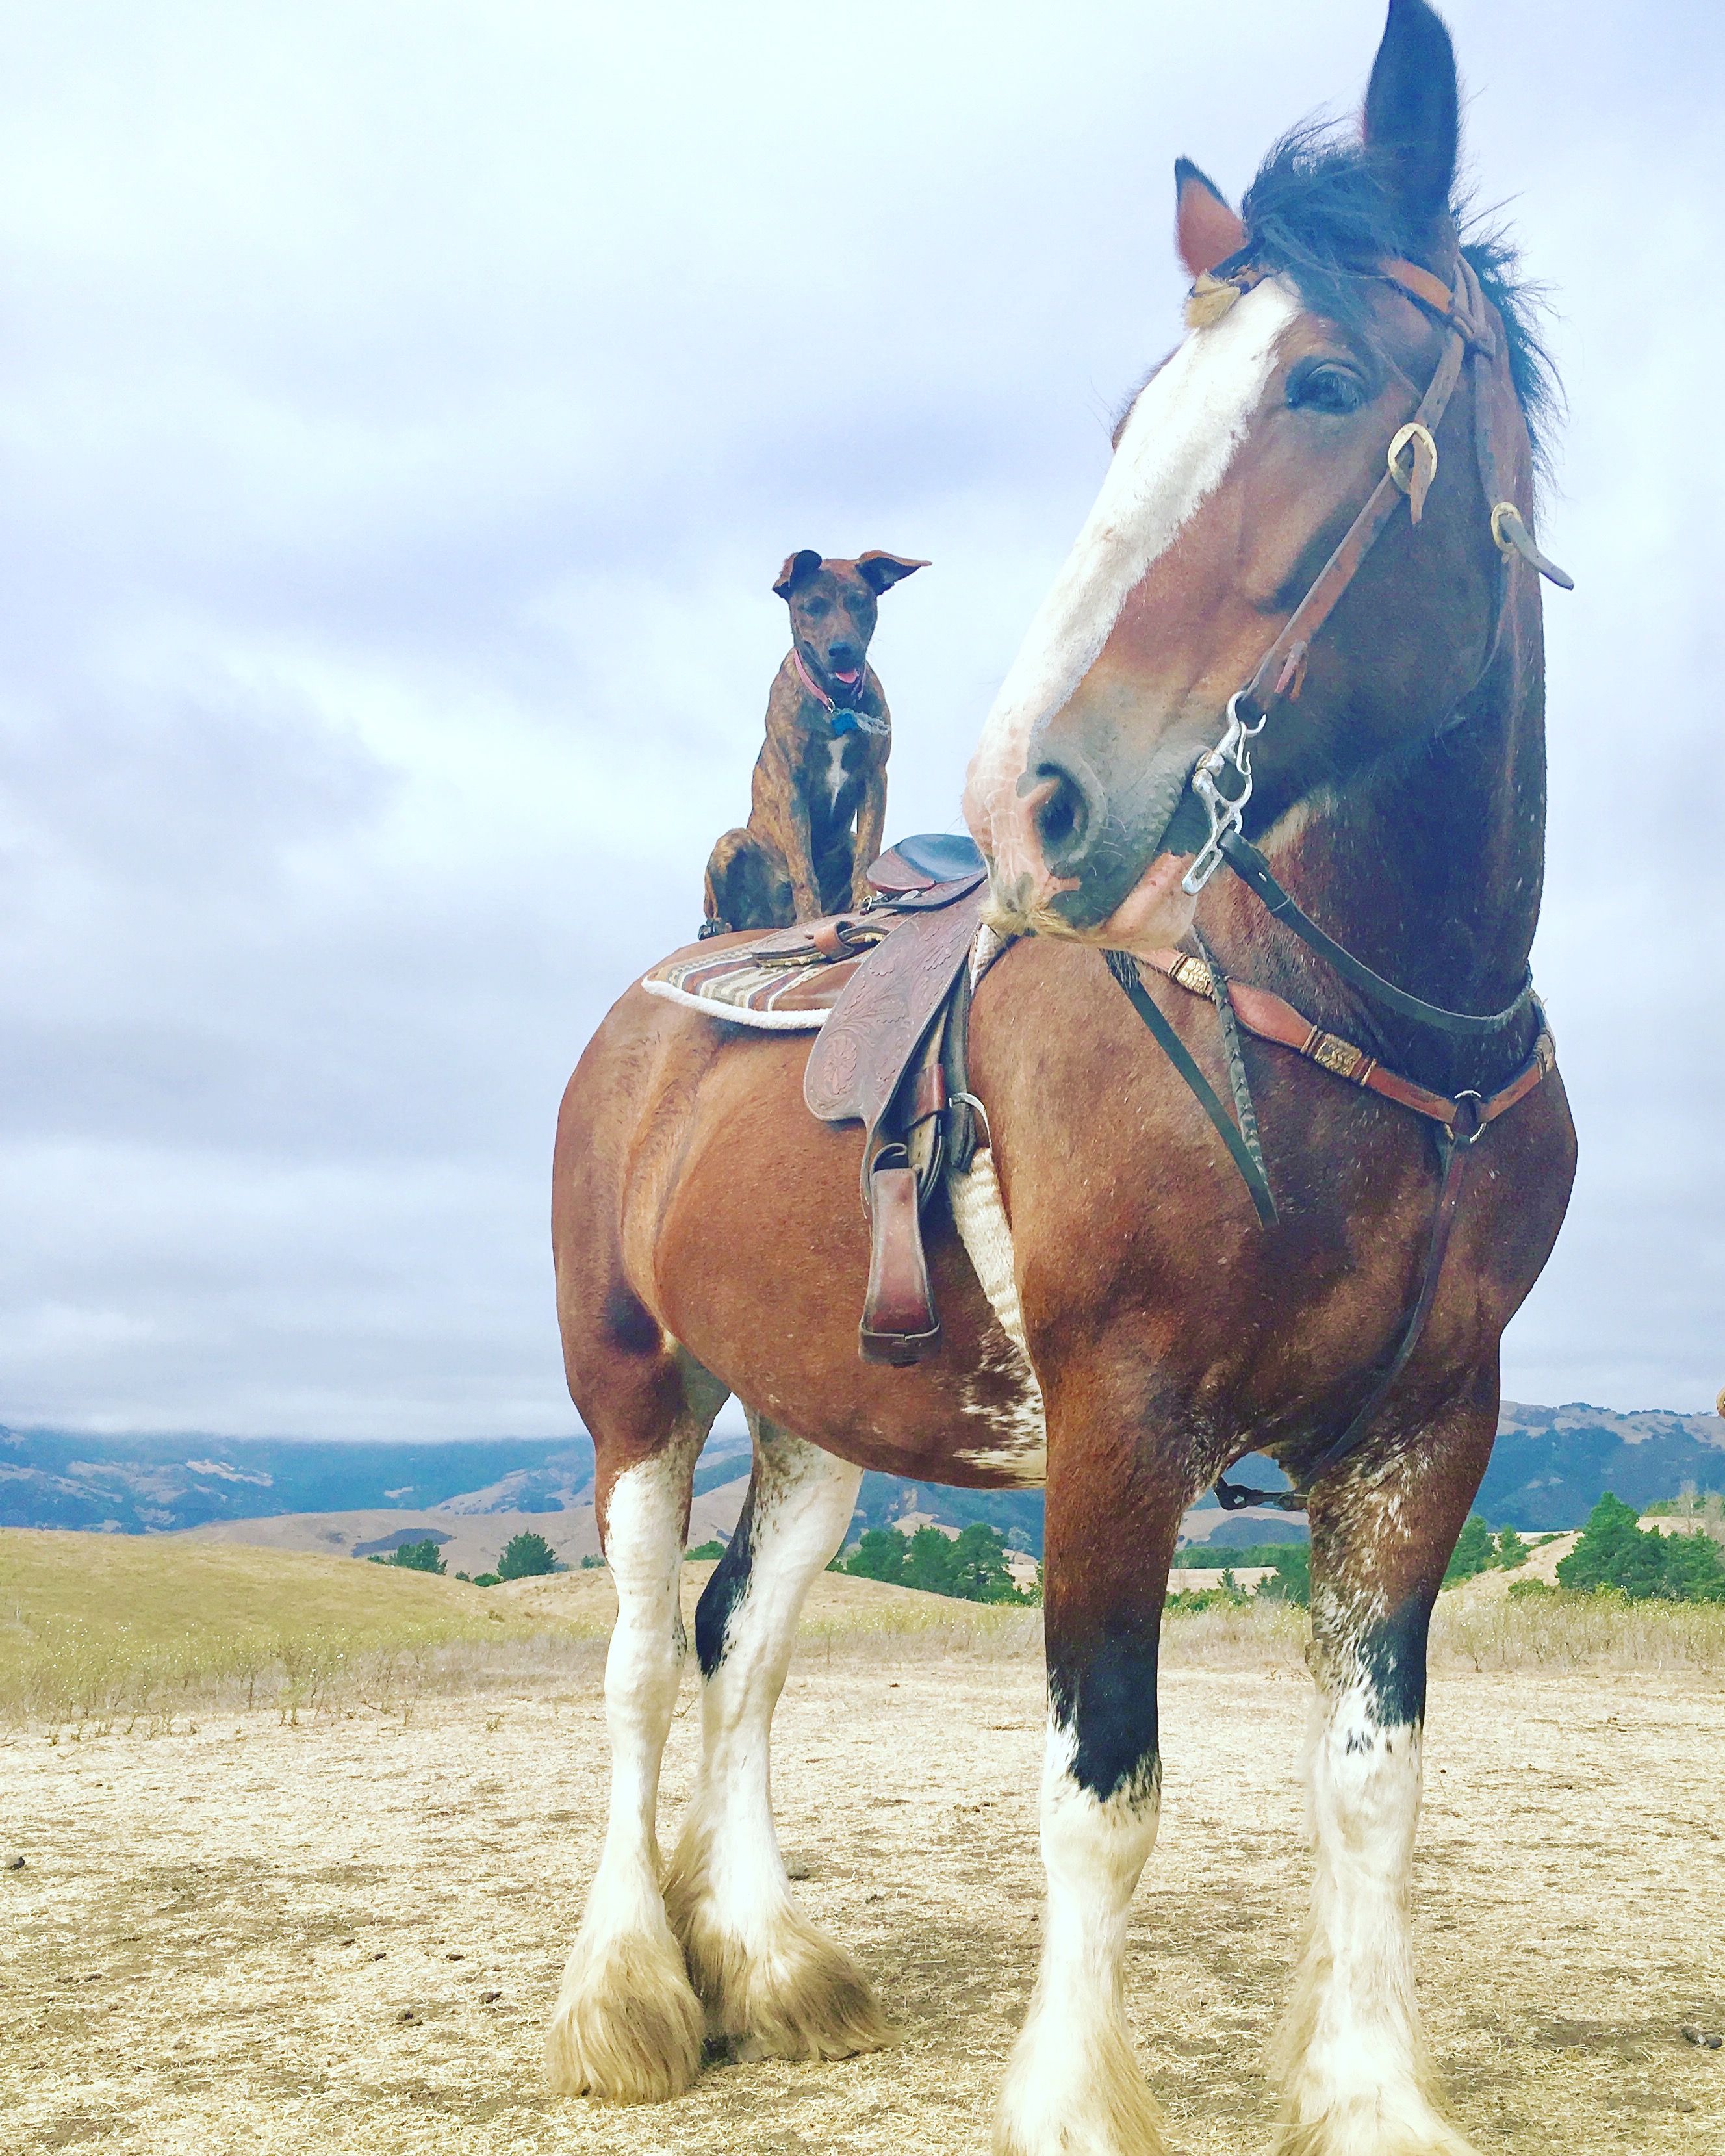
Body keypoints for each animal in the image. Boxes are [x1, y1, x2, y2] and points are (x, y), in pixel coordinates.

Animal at [545, 2, 1577, 2150]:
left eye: (1325, 381)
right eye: (1131, 418)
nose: (1028, 794)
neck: (1378, 1040)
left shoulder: (1425, 1437)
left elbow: (1371, 1786)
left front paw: (1368, 2085)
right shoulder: (1122, 1431)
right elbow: (1102, 1792)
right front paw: (1074, 2096)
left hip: (821, 1418)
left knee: (739, 1645)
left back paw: (765, 1954)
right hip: (634, 1386)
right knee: (637, 1664)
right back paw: (629, 1988)